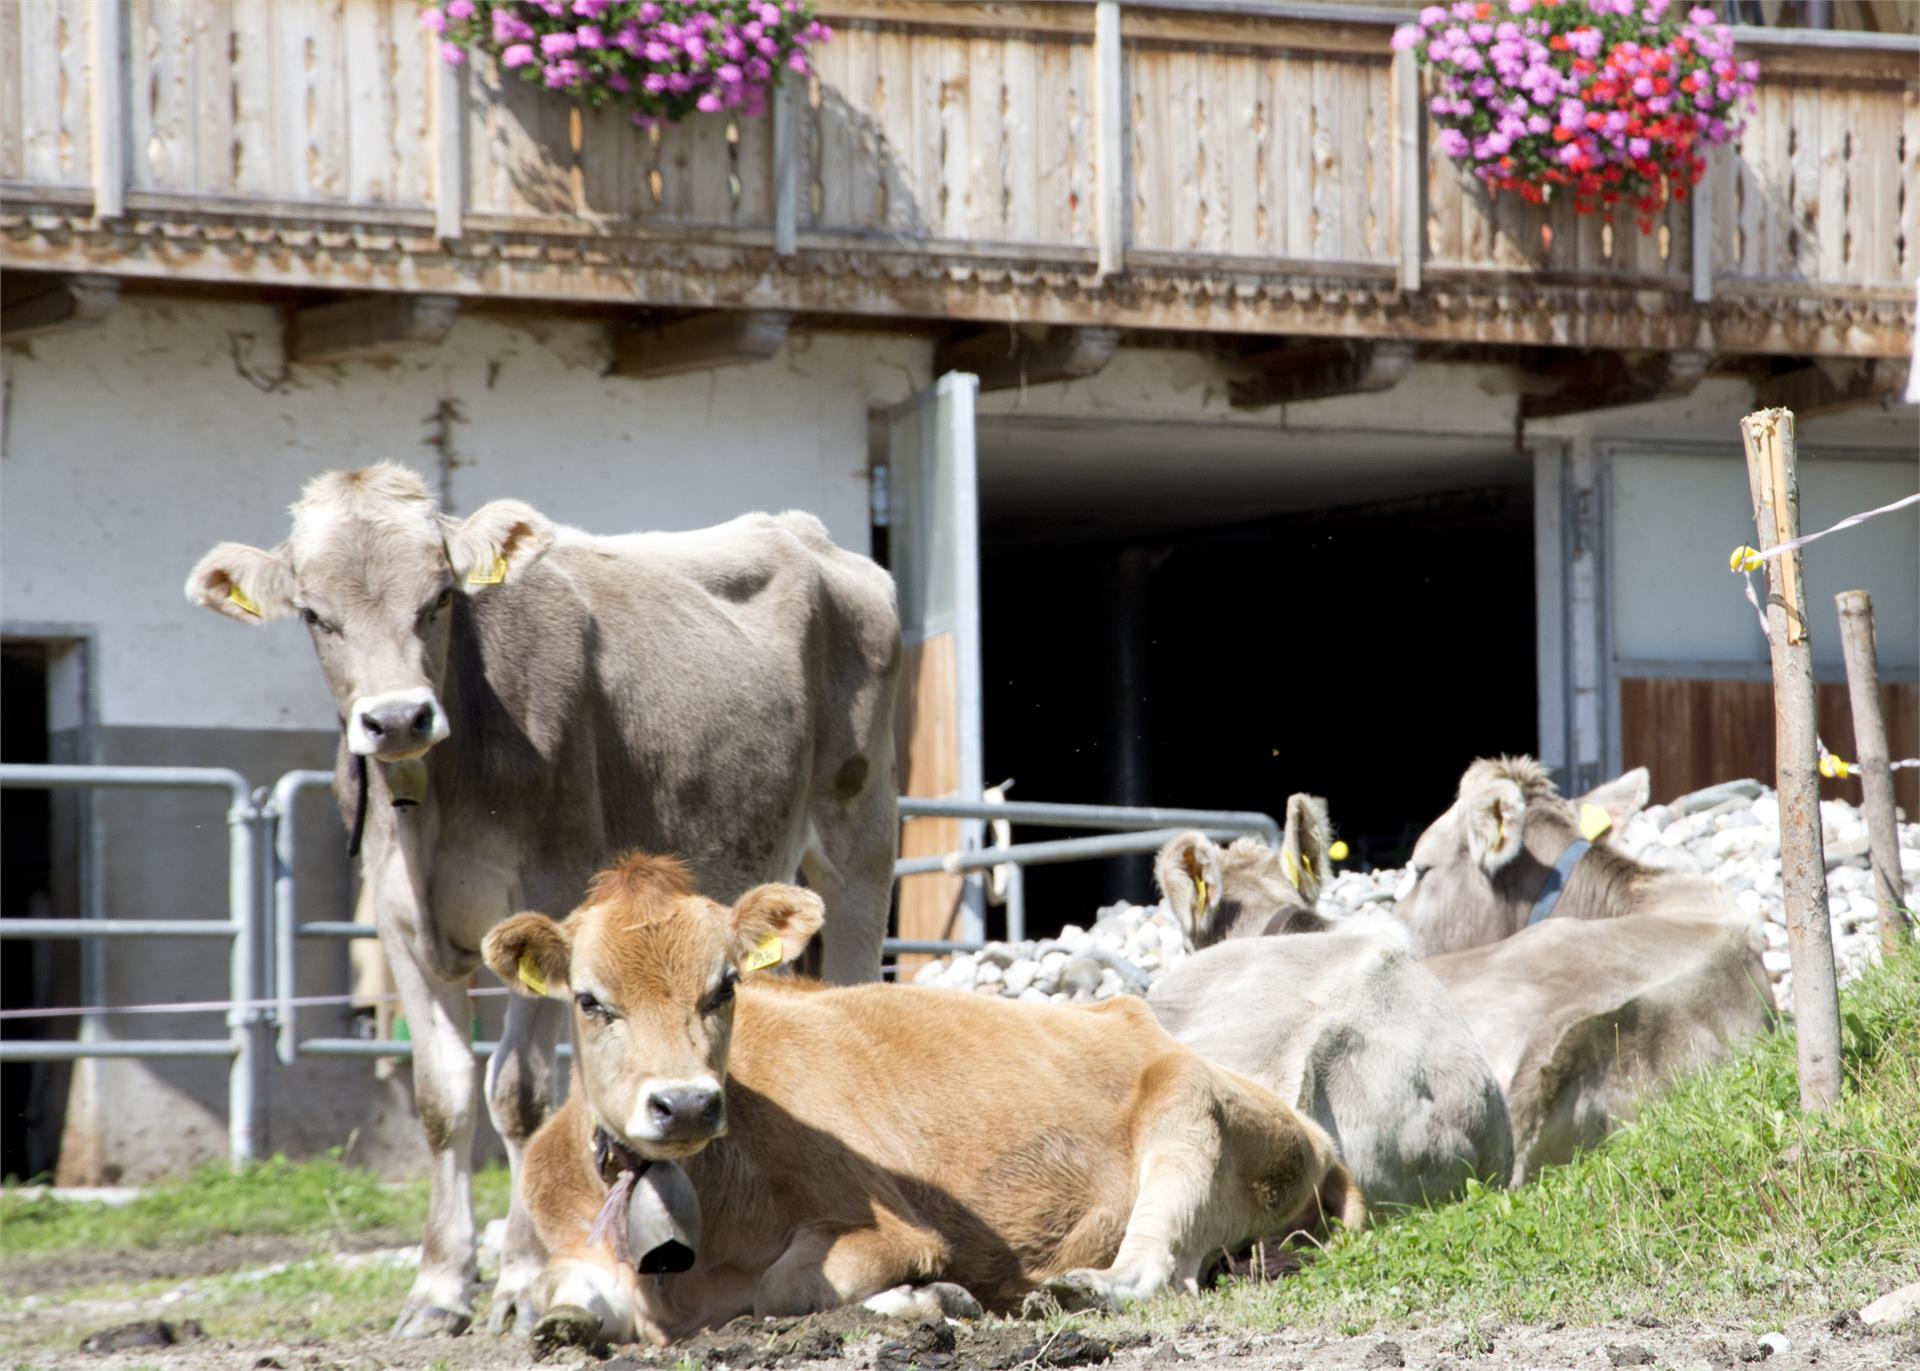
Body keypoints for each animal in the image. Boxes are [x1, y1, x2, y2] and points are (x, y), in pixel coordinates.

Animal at [183, 462, 894, 1336]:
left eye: (440, 597)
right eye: (316, 614)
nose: (397, 717)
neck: (439, 796)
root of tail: (808, 532)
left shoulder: (544, 897)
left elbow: (518, 1095)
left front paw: (521, 1280)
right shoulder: (401, 926)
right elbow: (444, 1097)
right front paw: (438, 1286)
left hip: (859, 841)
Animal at [480, 848, 1367, 1344]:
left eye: (725, 984)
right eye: (591, 1000)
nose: (687, 1104)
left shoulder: (885, 1227)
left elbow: (786, 1287)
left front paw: (931, 1297)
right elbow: (552, 1296)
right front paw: (558, 1321)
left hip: (1189, 1113)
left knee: (1159, 1269)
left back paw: (1071, 1288)